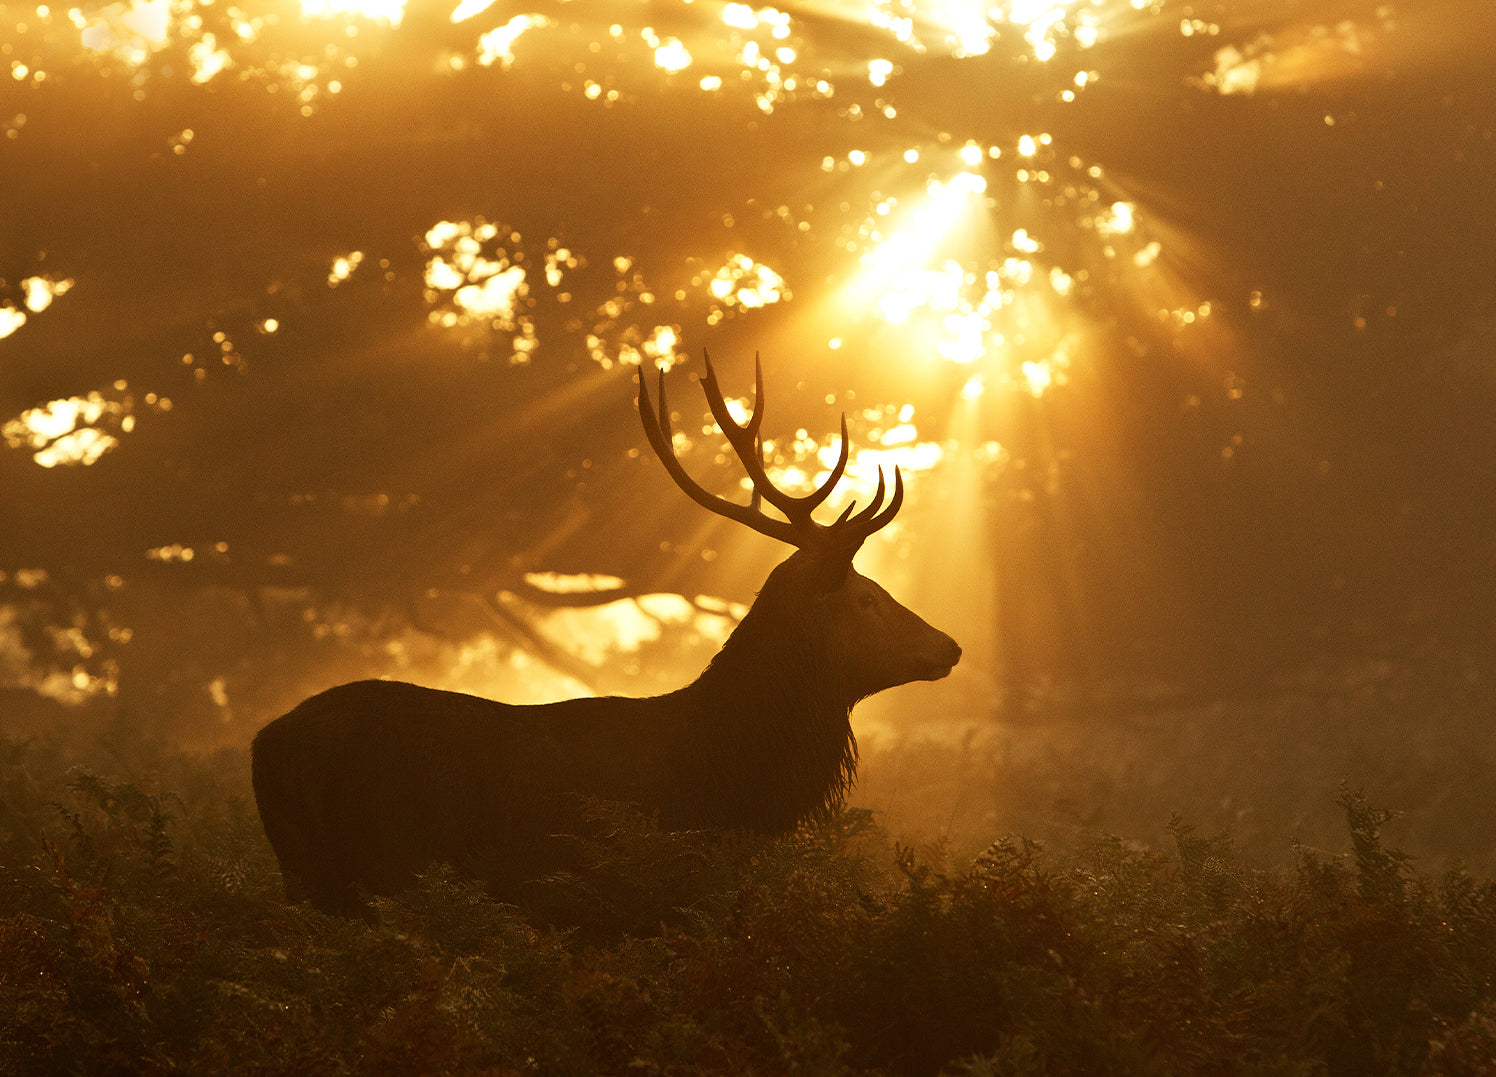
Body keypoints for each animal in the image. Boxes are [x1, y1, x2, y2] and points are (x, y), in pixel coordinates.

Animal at [251, 351, 961, 912]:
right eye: (866, 598)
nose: (950, 645)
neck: (724, 778)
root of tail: (263, 745)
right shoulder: (623, 891)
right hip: (354, 868)